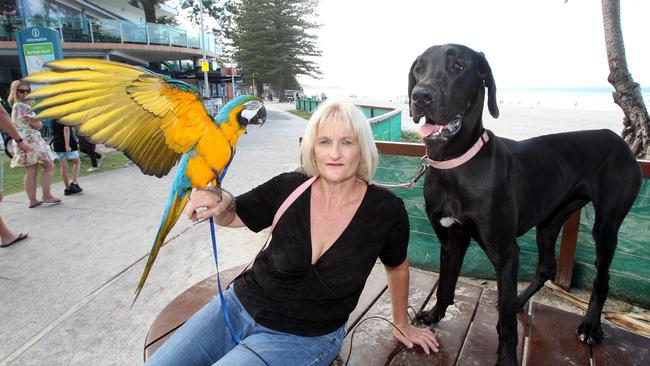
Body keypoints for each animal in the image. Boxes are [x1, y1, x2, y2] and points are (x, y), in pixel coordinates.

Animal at [408, 44, 640, 364]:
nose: (420, 95)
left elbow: (505, 324)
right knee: (545, 268)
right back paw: (518, 300)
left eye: (458, 66)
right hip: (550, 221)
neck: (457, 165)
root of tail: (617, 139)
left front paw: (506, 357)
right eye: (419, 68)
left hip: (606, 226)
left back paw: (590, 326)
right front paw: (433, 315)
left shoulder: (506, 253)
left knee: (601, 278)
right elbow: (445, 284)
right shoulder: (451, 239)